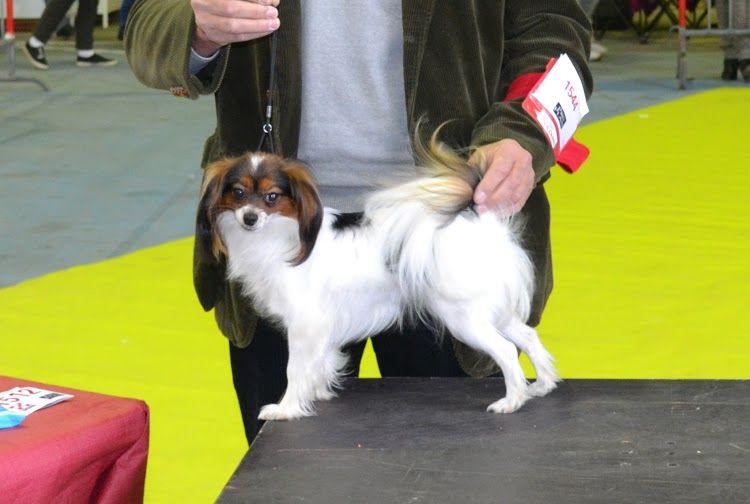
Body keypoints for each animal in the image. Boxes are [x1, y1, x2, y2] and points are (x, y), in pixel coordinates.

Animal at [196, 138, 559, 421]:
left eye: (272, 197)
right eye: (238, 193)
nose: (249, 218)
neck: (280, 236)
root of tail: (476, 222)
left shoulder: (304, 324)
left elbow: (295, 369)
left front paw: (287, 408)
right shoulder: (322, 326)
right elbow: (321, 360)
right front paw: (319, 392)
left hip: (464, 317)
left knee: (507, 350)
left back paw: (512, 401)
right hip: (491, 310)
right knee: (528, 337)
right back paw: (541, 386)